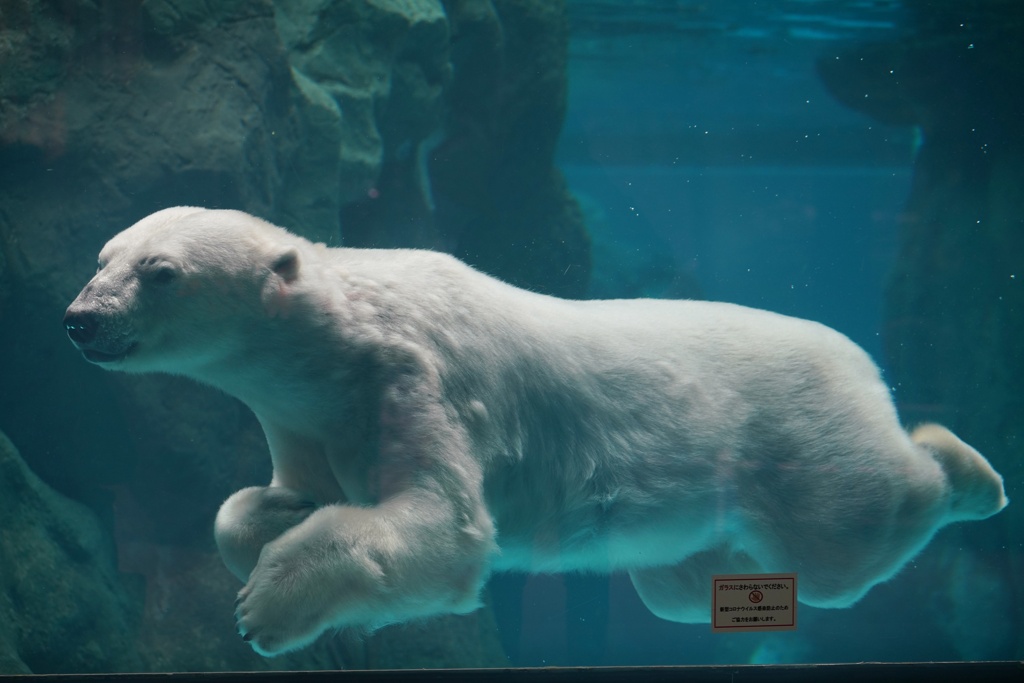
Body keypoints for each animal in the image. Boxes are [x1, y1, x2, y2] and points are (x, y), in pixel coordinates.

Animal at [64, 205, 1007, 655]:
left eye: (160, 272)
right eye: (102, 256)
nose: (80, 319)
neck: (340, 337)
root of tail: (855, 358)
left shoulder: (417, 379)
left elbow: (445, 526)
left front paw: (268, 606)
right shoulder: (305, 413)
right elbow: (272, 502)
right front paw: (261, 534)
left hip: (798, 432)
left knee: (851, 531)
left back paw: (970, 468)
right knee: (681, 576)